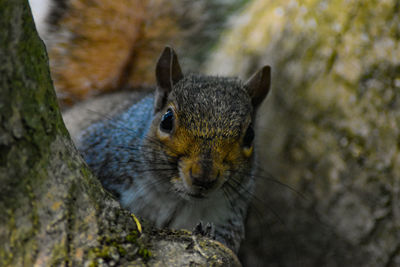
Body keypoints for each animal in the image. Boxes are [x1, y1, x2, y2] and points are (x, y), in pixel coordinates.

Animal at [63, 46, 272, 253]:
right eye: (167, 120)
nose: (203, 178)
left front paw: (206, 232)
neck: (177, 199)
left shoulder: (227, 216)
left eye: (250, 135)